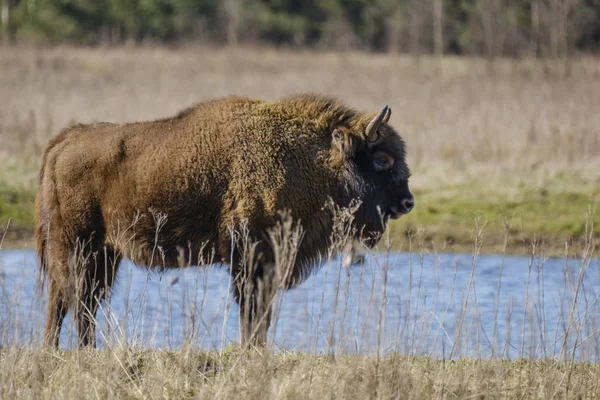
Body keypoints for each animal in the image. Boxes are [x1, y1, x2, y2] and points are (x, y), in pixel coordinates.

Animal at [35, 94, 414, 346]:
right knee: (71, 300)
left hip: (104, 254)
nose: (407, 202)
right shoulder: (252, 257)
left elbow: (261, 312)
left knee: (77, 301)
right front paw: (251, 349)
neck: (311, 160)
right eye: (382, 159)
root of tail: (64, 141)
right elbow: (252, 310)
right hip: (78, 247)